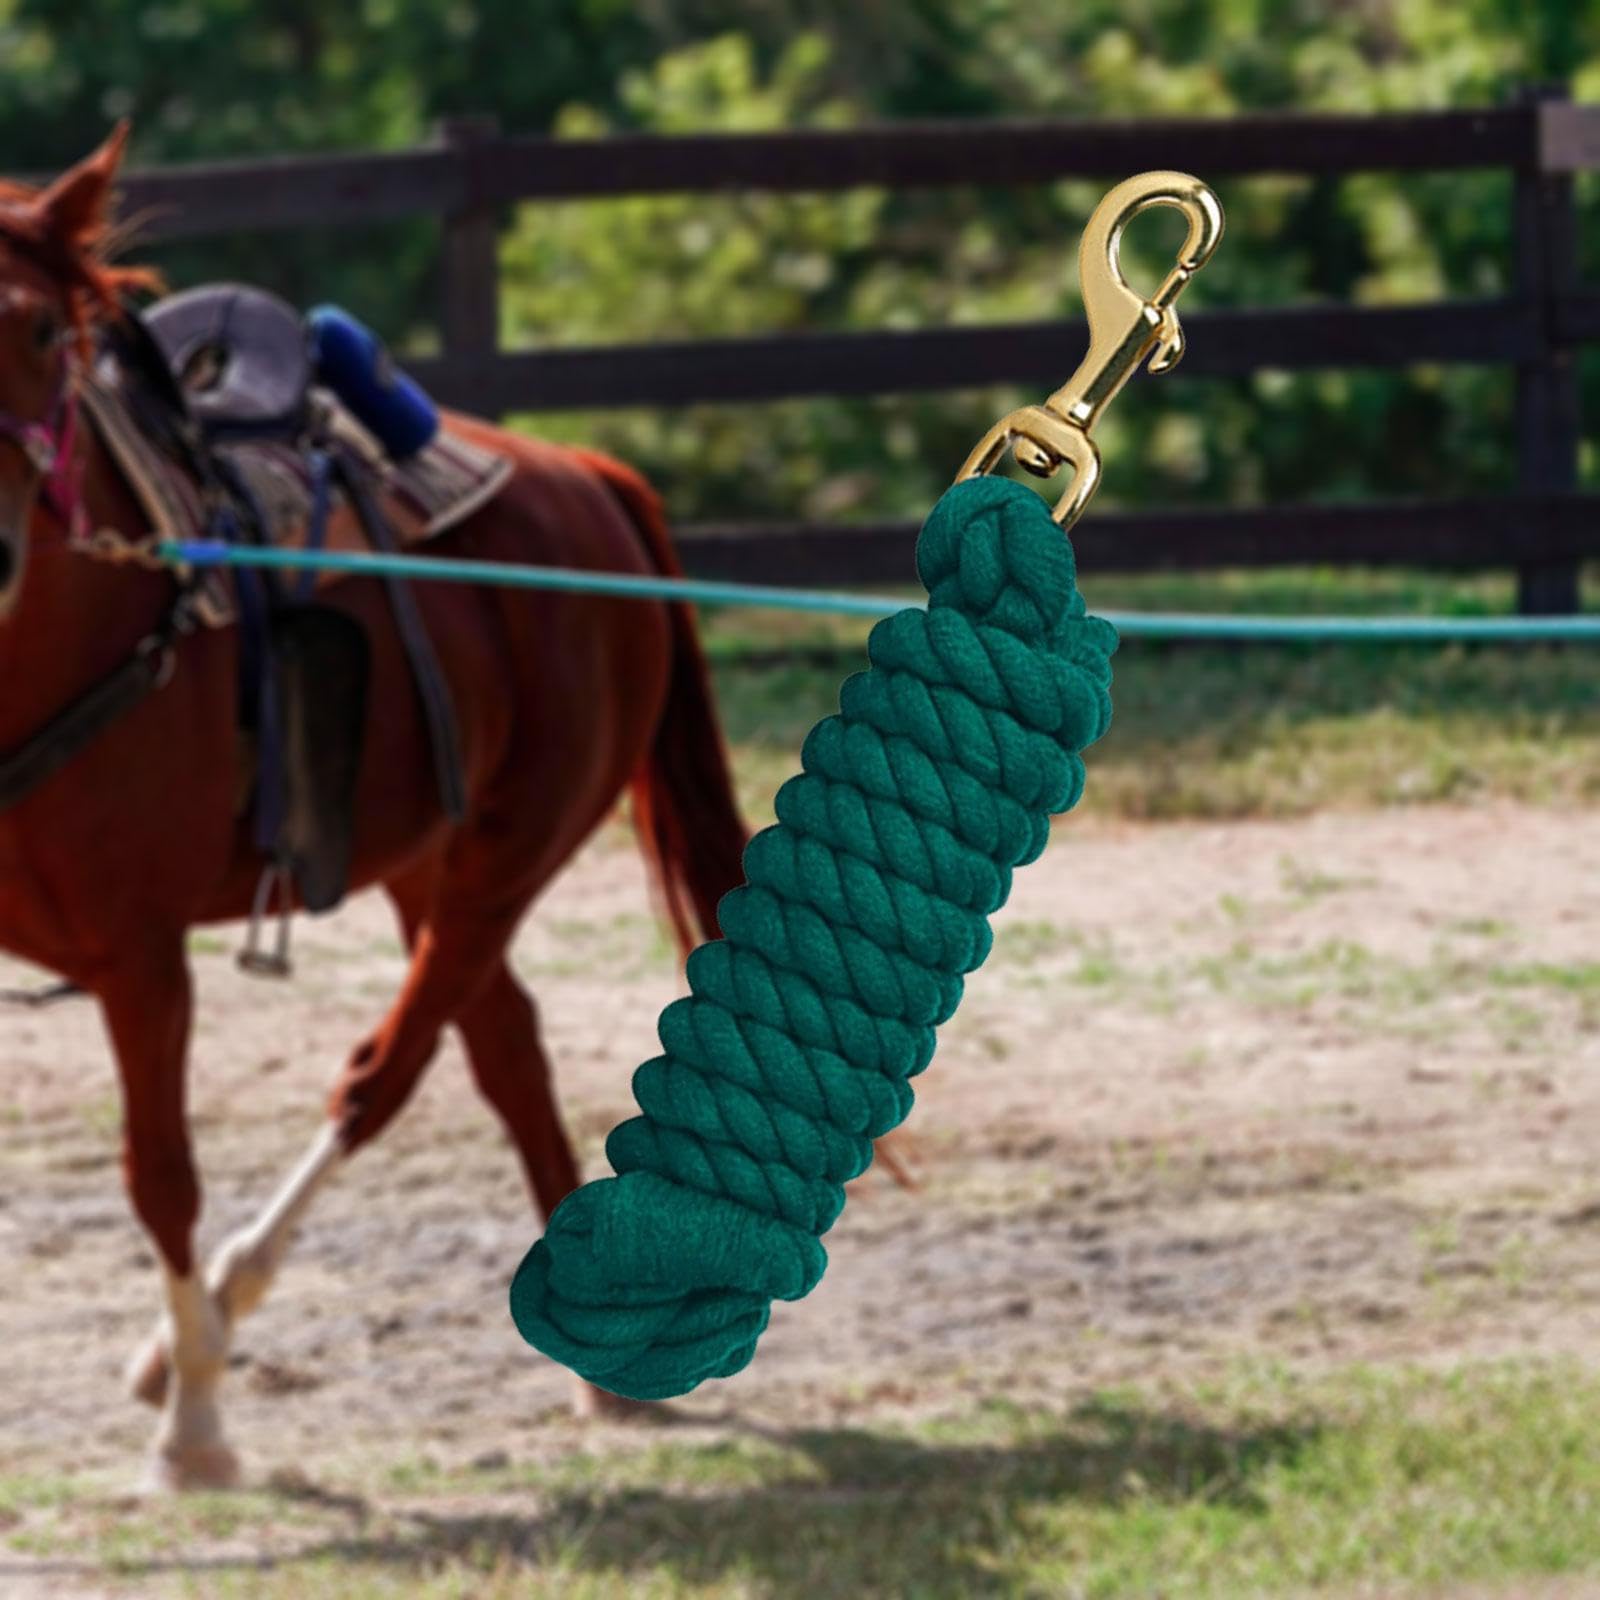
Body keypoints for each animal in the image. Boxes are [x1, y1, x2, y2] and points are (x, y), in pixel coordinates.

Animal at [0, 125, 752, 1489]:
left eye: (37, 329)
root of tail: (589, 476)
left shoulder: (143, 963)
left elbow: (161, 1176)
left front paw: (195, 1437)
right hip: (424, 860)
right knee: (505, 1048)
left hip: (509, 856)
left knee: (385, 1072)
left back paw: (205, 1335)